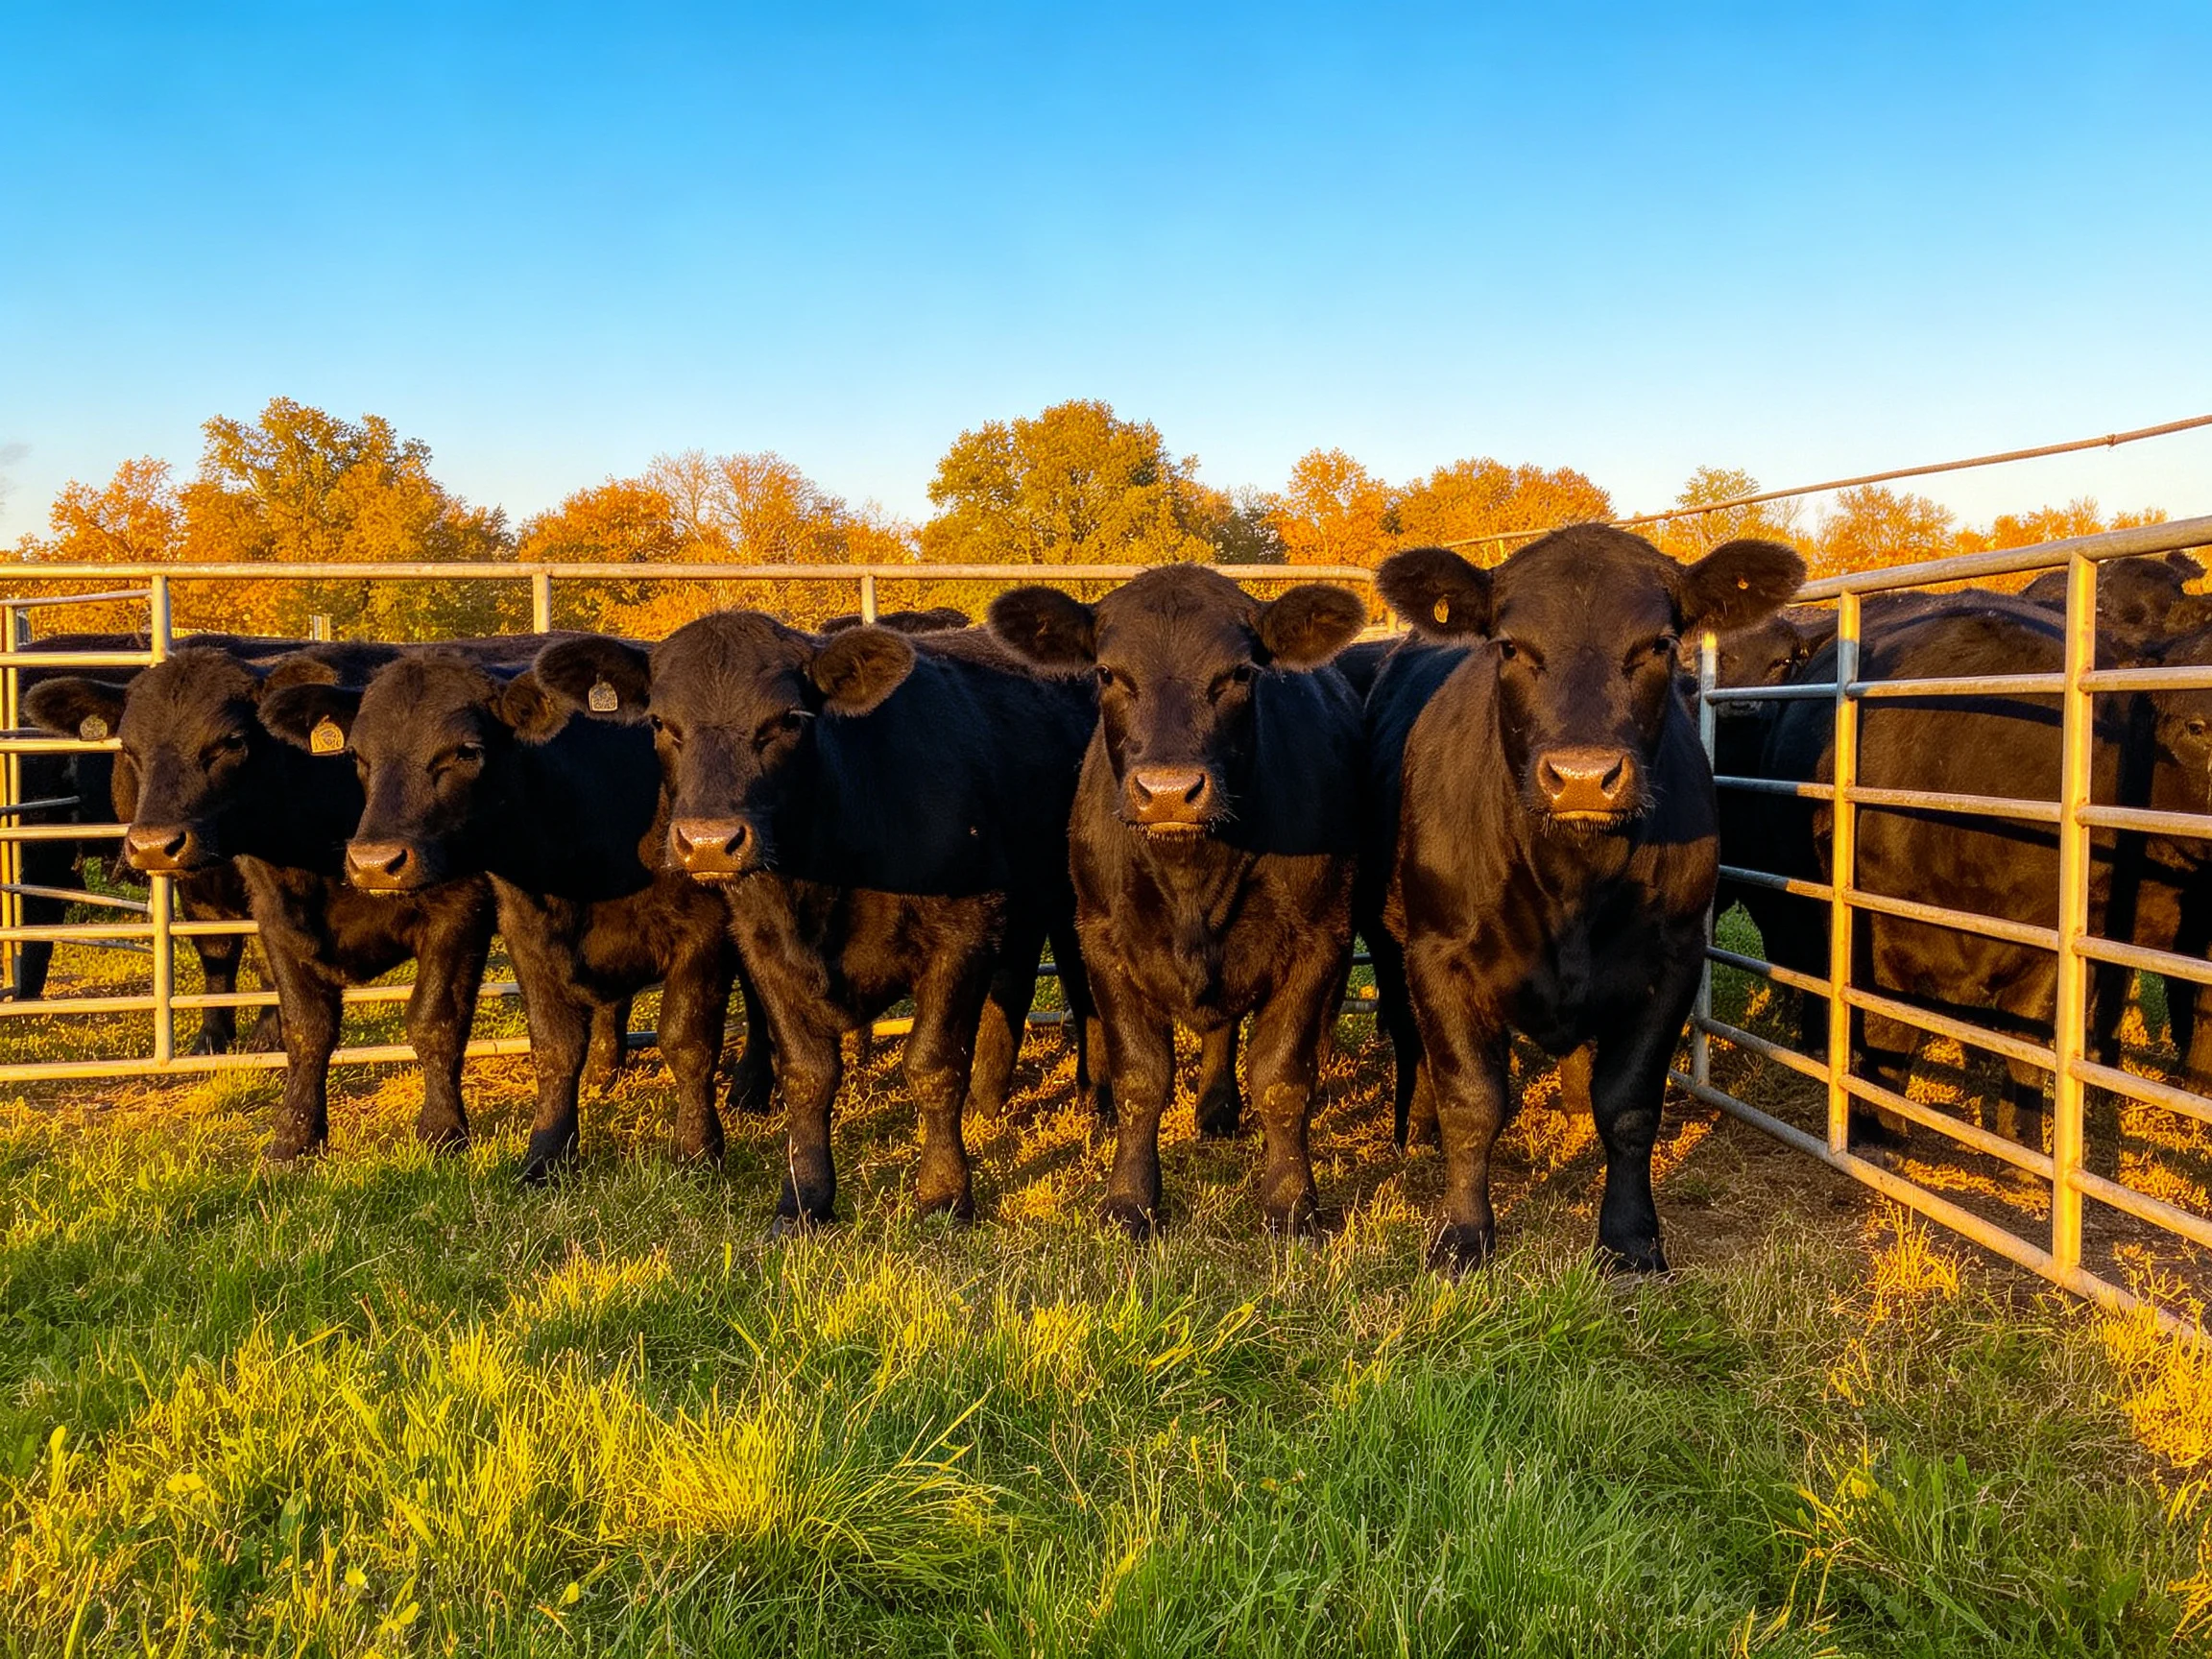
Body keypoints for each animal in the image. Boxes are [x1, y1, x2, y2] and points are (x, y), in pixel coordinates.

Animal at [22, 646, 497, 1160]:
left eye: (232, 740)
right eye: (129, 746)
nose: (153, 845)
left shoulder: (460, 910)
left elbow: (435, 1022)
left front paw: (442, 1132)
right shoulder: (271, 914)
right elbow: (302, 1023)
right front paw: (293, 1136)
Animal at [261, 649, 762, 1184]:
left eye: (466, 750)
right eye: (356, 755)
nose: (375, 862)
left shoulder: (704, 929)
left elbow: (688, 1040)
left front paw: (696, 1153)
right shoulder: (526, 931)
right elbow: (555, 1045)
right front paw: (547, 1154)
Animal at [532, 614, 1099, 1230]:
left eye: (789, 719)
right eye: (659, 722)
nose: (708, 842)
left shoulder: (963, 931)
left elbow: (933, 1065)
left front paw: (945, 1195)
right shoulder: (764, 946)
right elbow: (807, 1074)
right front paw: (804, 1199)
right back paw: (988, 1102)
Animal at [988, 566, 1367, 1238]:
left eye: (1240, 673)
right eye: (1107, 673)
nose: (1168, 792)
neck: (1194, 880)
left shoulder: (1317, 938)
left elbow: (1281, 1077)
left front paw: (1291, 1201)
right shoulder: (1102, 941)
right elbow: (1140, 1078)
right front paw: (1129, 1200)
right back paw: (1215, 1109)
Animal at [1365, 527, 1804, 1273]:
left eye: (1660, 643)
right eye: (1509, 645)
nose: (1581, 777)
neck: (1572, 877)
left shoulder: (1676, 956)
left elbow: (1629, 1105)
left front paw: (1630, 1239)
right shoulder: (1437, 952)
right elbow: (1472, 1100)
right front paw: (1464, 1235)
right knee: (1410, 1036)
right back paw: (1414, 1126)